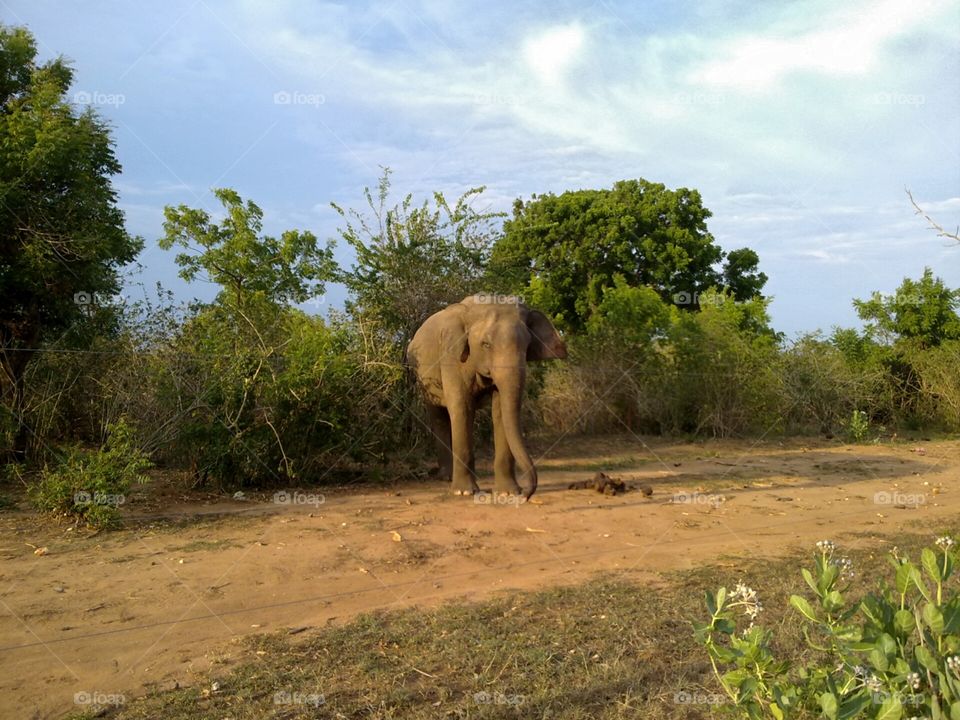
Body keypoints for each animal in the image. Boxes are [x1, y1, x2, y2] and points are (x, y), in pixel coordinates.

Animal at [406, 294, 567, 500]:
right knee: (438, 416)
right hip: (421, 375)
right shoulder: (451, 357)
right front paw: (463, 492)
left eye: (526, 345)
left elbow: (499, 411)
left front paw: (508, 492)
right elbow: (461, 407)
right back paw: (447, 478)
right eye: (486, 344)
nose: (526, 494)